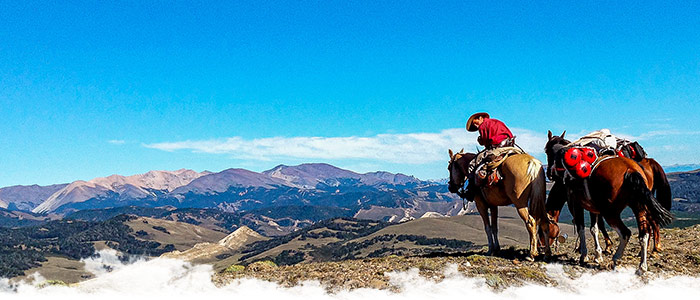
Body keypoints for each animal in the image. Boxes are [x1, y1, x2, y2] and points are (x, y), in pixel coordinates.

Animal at [540, 132, 672, 274]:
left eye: (546, 150)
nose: (549, 173)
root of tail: (631, 170)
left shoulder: (575, 204)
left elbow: (582, 227)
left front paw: (584, 254)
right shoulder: (592, 207)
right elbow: (594, 229)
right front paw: (598, 255)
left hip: (611, 213)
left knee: (626, 233)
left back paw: (617, 259)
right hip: (640, 207)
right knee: (644, 234)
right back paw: (642, 265)